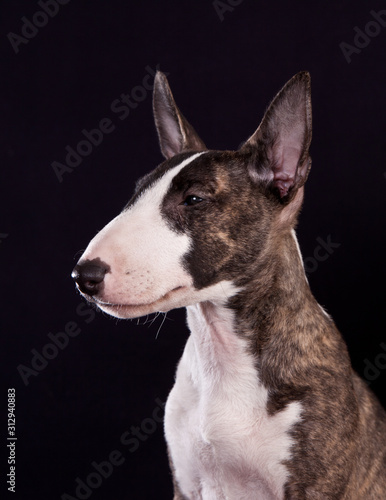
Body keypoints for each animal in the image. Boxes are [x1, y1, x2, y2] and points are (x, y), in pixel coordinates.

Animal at [72, 71, 386, 500]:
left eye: (194, 199)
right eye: (135, 195)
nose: (83, 276)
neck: (221, 349)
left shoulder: (312, 487)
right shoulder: (186, 485)